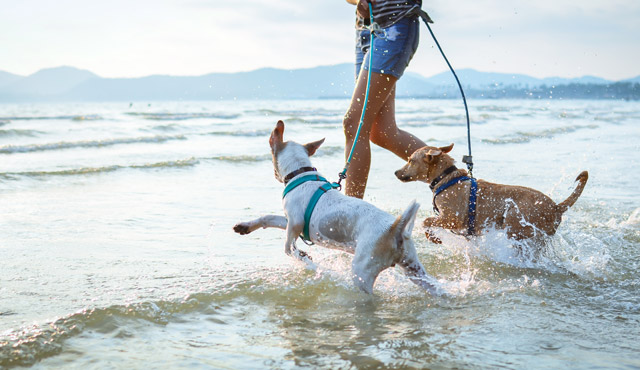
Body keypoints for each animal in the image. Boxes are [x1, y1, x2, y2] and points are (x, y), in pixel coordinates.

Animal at [232, 121, 438, 294]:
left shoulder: (295, 222)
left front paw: (304, 258)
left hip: (362, 271)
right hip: (414, 270)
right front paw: (245, 226)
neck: (300, 173)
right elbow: (268, 218)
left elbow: (288, 247)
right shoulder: (290, 220)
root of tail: (396, 228)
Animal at [396, 145, 592, 246]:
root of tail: (556, 207)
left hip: (515, 222)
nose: (396, 172)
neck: (446, 178)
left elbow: (426, 221)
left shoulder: (452, 218)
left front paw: (434, 237)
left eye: (410, 160)